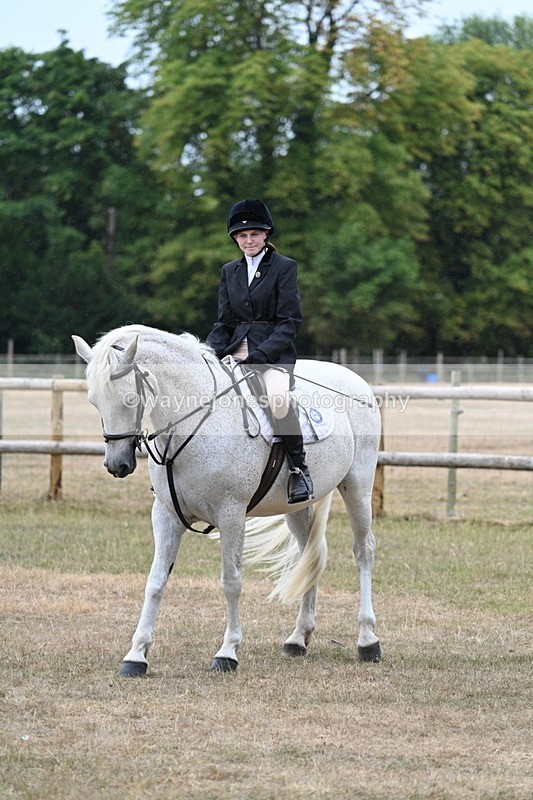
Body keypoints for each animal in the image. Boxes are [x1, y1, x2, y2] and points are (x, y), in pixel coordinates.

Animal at [72, 324, 382, 675]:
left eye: (129, 399)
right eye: (94, 401)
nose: (117, 465)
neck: (191, 426)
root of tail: (353, 378)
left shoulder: (231, 514)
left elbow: (231, 581)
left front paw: (227, 652)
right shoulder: (165, 515)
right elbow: (155, 582)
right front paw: (136, 655)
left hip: (357, 487)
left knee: (363, 551)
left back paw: (368, 641)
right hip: (296, 507)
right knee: (311, 555)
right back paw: (298, 639)